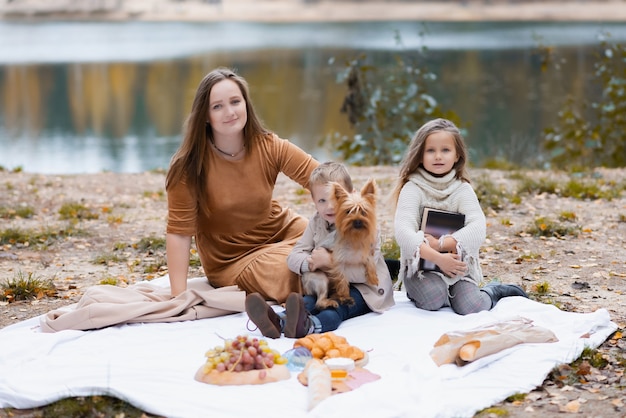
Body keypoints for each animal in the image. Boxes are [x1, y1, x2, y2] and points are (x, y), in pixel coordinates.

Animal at [300, 179, 378, 310]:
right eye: (348, 211)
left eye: (363, 211)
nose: (357, 221)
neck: (354, 235)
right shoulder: (339, 262)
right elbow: (342, 280)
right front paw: (345, 296)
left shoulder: (366, 252)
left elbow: (370, 260)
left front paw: (373, 278)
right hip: (321, 278)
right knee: (319, 302)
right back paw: (333, 301)